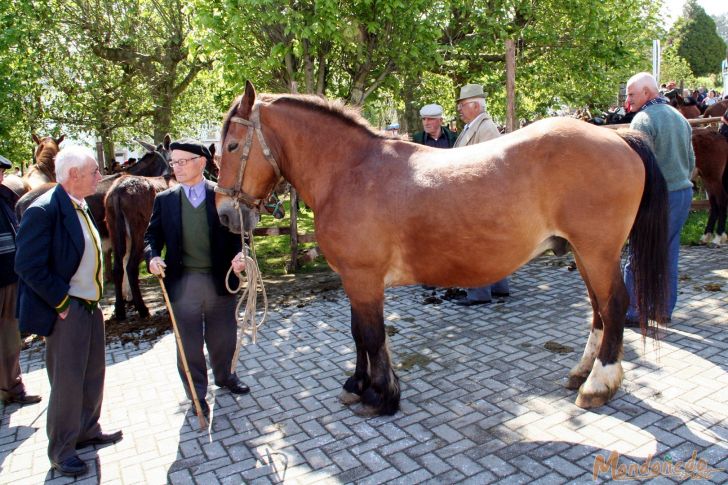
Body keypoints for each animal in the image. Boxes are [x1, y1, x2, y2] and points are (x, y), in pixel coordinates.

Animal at [213, 81, 668, 414]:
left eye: (232, 146)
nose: (225, 214)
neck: (352, 171)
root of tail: (619, 137)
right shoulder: (354, 280)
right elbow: (358, 333)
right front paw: (358, 384)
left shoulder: (363, 277)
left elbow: (370, 334)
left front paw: (380, 395)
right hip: (583, 252)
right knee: (598, 310)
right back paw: (581, 372)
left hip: (598, 251)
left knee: (614, 305)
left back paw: (598, 385)